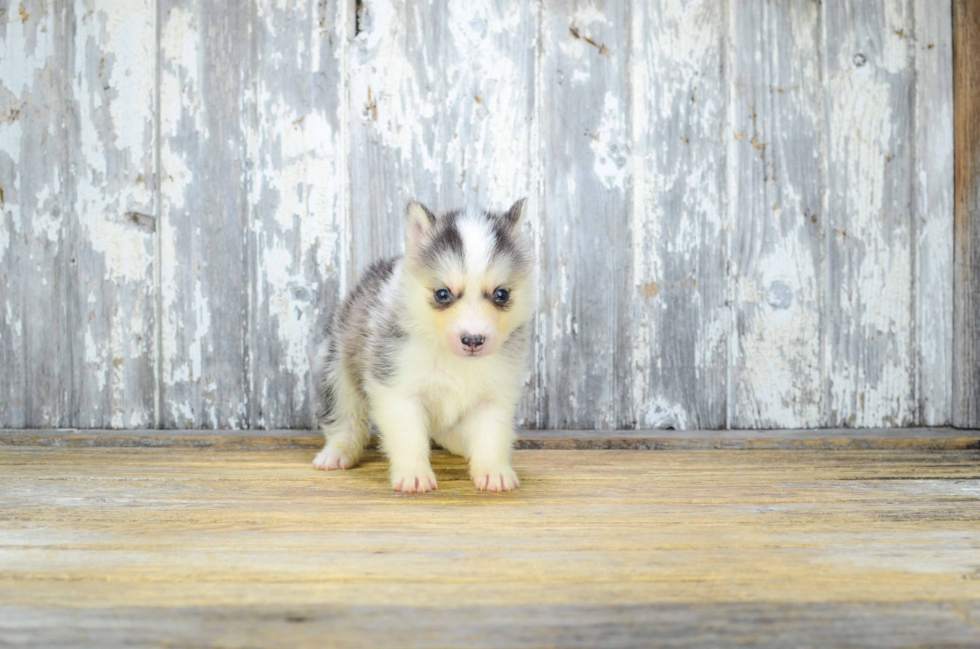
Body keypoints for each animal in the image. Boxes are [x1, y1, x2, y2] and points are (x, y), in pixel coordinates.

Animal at [312, 197, 532, 492]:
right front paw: (413, 474)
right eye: (442, 294)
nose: (473, 340)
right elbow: (409, 438)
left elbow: (491, 434)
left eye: (501, 294)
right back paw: (337, 453)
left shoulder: (495, 395)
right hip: (337, 369)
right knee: (345, 419)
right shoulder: (396, 389)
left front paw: (493, 471)